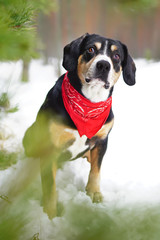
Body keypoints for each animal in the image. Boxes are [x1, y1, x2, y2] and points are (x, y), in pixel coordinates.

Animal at [23, 32, 136, 218]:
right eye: (90, 49)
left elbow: (96, 170)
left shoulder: (102, 140)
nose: (103, 65)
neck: (89, 103)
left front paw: (94, 193)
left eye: (116, 56)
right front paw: (50, 214)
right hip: (31, 135)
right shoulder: (50, 146)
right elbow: (50, 187)